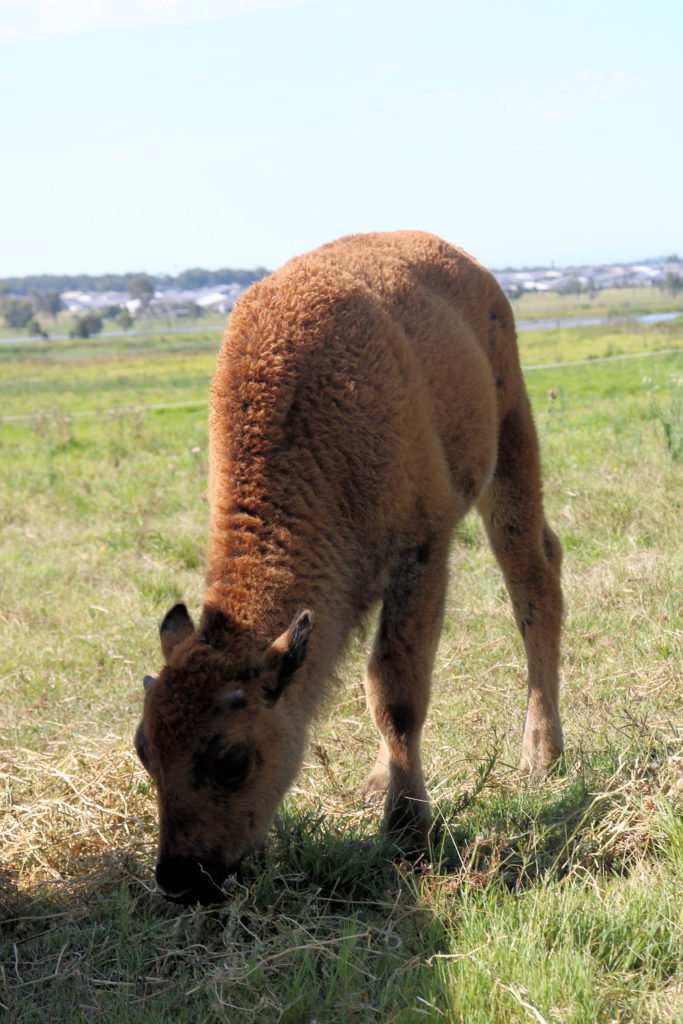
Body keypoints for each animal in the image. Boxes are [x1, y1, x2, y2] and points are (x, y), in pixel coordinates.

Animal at [136, 228, 565, 901]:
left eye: (232, 759)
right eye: (144, 751)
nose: (182, 878)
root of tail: (465, 262)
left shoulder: (421, 553)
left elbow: (395, 690)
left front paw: (408, 831)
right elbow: (380, 690)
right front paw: (389, 797)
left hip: (511, 444)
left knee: (533, 581)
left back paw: (542, 755)